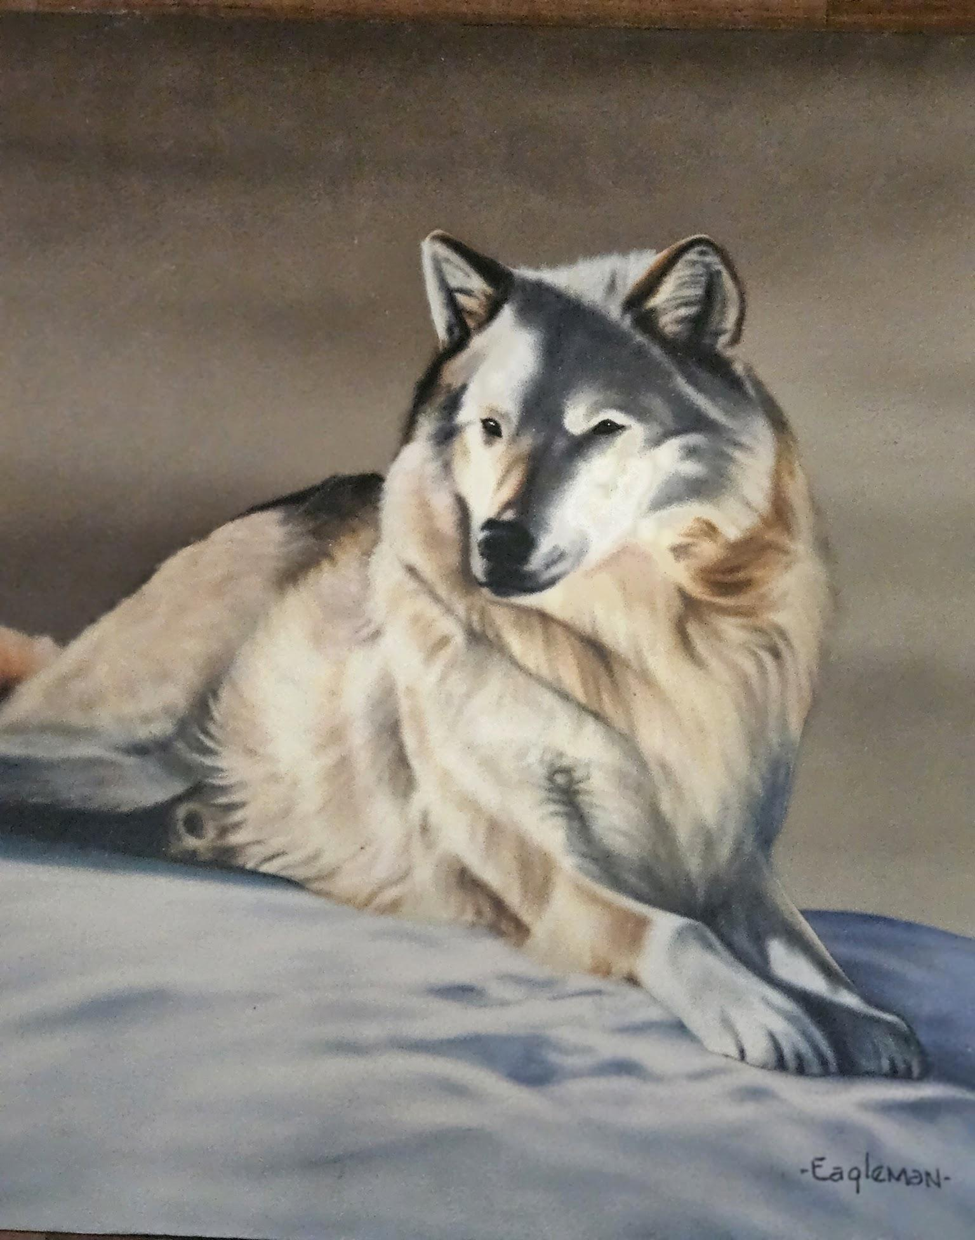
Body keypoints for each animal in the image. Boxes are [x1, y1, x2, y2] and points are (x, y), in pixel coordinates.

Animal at [0, 232, 925, 1078]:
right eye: (491, 428)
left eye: (602, 429)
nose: (498, 542)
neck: (630, 646)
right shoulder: (539, 861)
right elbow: (675, 931)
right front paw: (763, 1015)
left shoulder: (734, 858)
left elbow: (805, 952)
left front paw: (866, 1022)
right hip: (122, 747)